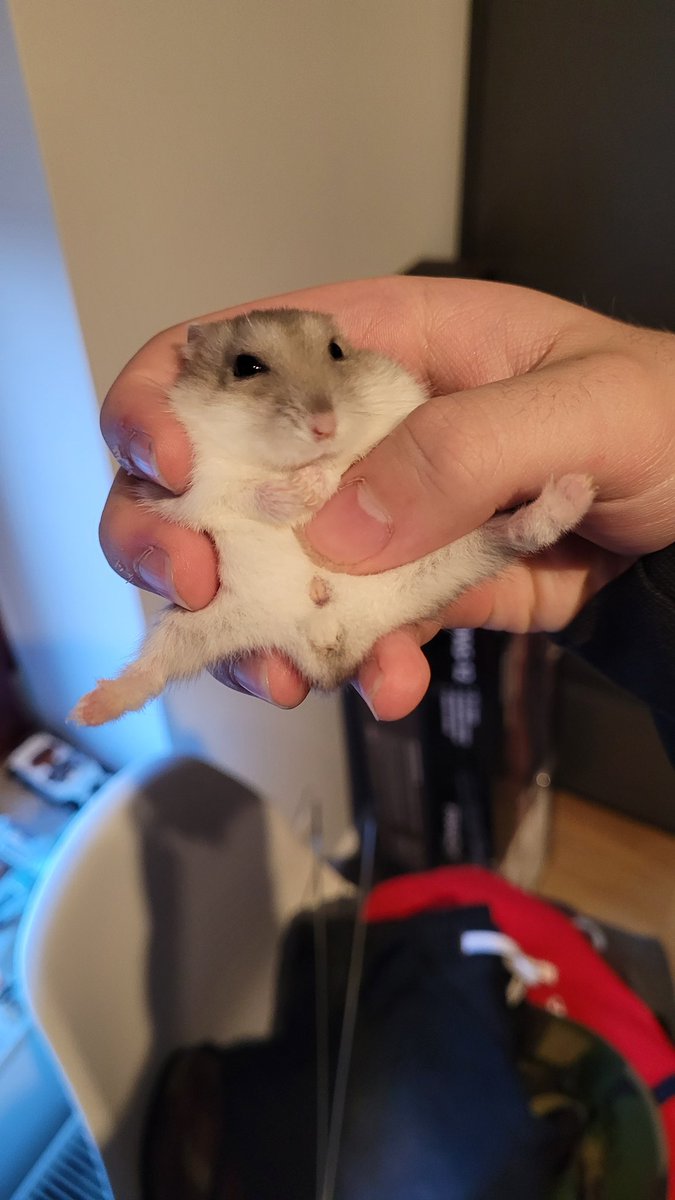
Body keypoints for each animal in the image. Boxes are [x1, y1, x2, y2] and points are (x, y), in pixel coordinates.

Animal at [72, 308, 594, 726]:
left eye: (337, 351)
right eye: (245, 366)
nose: (325, 426)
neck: (282, 461)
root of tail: (331, 653)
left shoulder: (392, 415)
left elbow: (347, 461)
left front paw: (316, 483)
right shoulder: (189, 486)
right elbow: (241, 494)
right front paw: (298, 494)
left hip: (456, 560)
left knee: (519, 534)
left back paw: (575, 491)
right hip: (188, 630)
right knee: (152, 672)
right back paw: (88, 710)